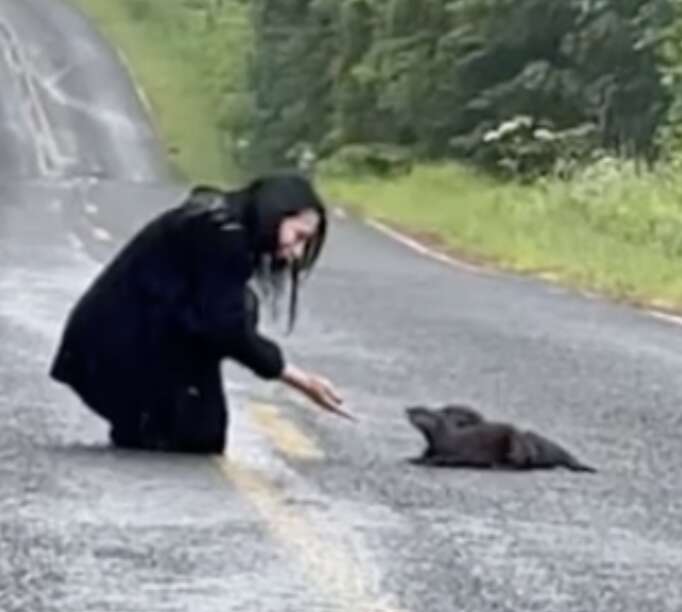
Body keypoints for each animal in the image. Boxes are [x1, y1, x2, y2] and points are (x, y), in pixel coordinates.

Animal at [406, 406, 592, 474]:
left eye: (419, 411)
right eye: (414, 409)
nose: (408, 409)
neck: (445, 437)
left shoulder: (453, 450)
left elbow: (442, 458)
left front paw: (423, 461)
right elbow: (425, 454)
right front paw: (414, 457)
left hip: (517, 444)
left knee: (522, 465)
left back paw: (499, 465)